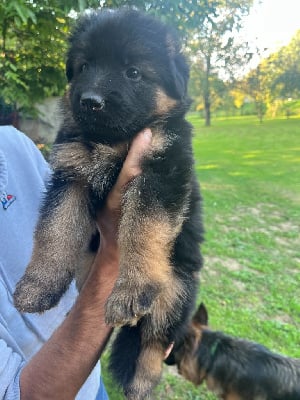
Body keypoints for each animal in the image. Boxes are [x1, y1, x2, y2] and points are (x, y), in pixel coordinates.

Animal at [12, 8, 203, 400]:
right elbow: (55, 230)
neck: (113, 141)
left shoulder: (161, 170)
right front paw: (38, 285)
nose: (90, 101)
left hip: (177, 288)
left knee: (153, 338)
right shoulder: (72, 175)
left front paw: (133, 288)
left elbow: (142, 227)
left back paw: (141, 381)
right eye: (84, 66)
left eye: (133, 72)